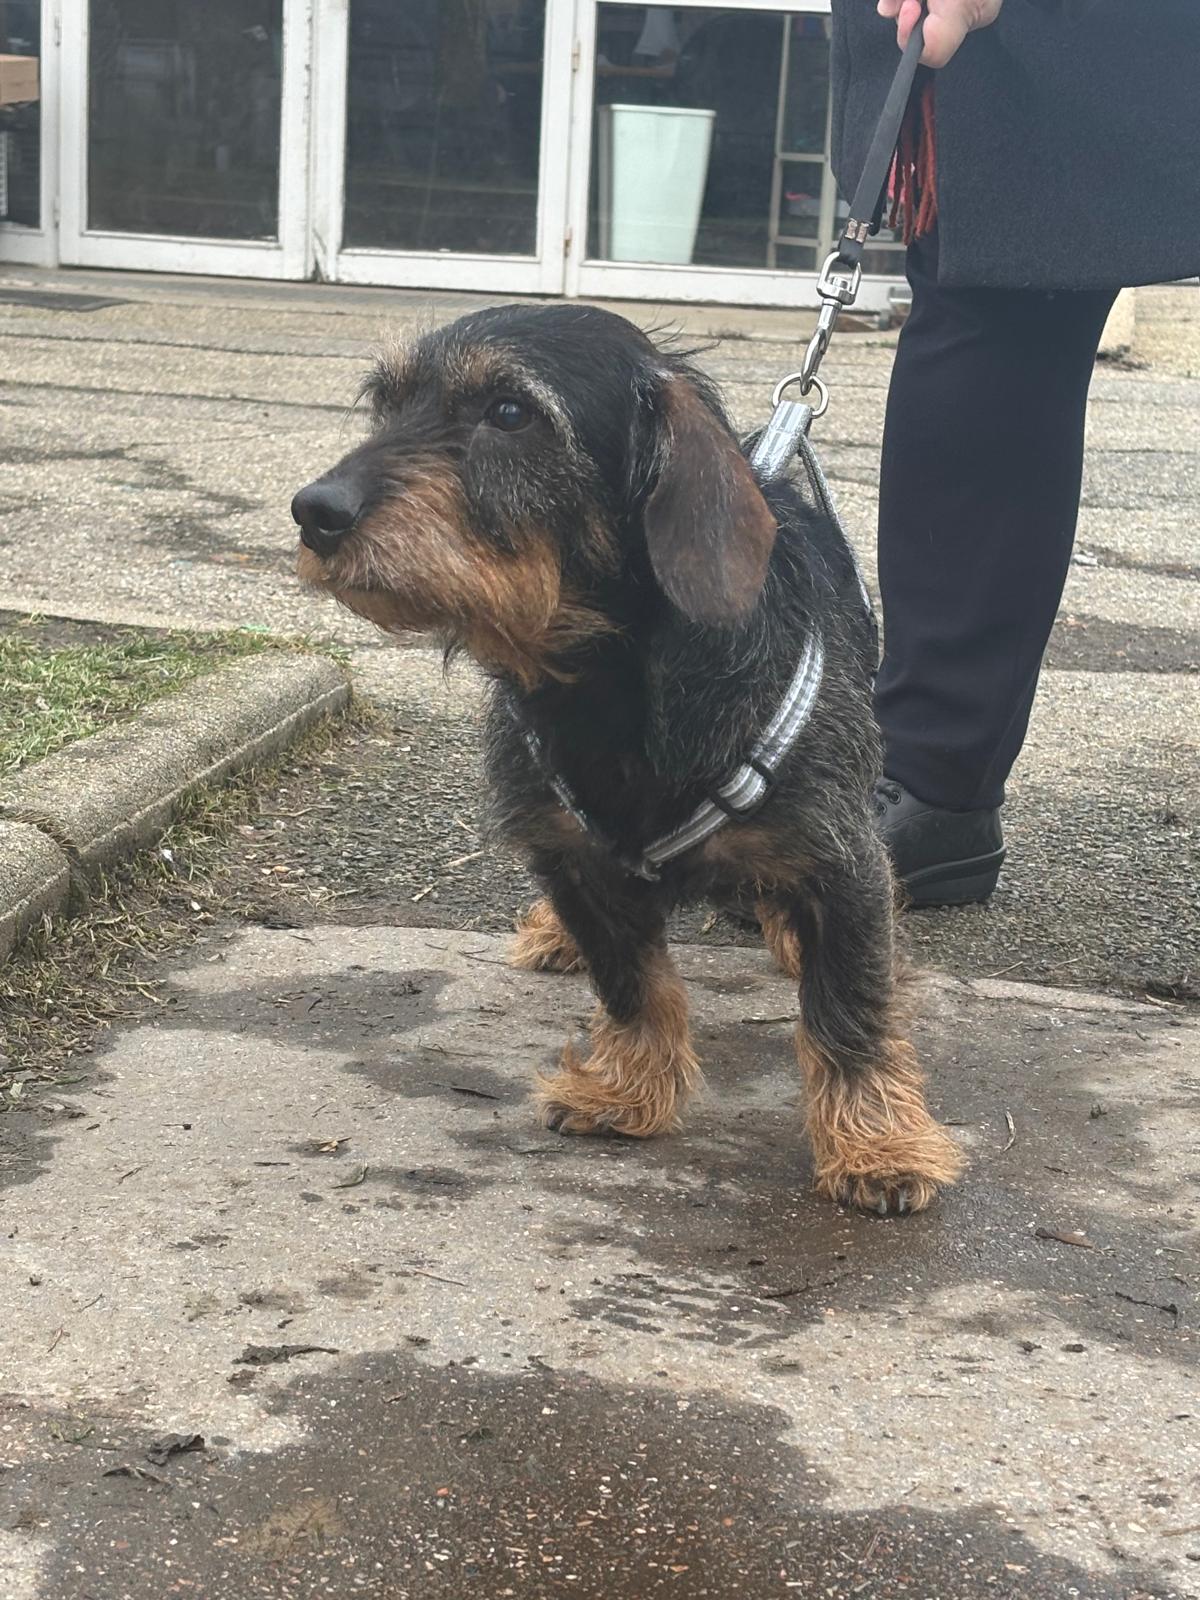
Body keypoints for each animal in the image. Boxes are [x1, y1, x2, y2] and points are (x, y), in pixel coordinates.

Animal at [291, 303, 963, 1215]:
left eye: (511, 411)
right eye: (385, 404)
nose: (313, 511)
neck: (612, 690)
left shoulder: (839, 855)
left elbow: (849, 1008)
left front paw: (877, 1144)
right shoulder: (574, 862)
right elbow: (633, 986)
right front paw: (627, 1090)